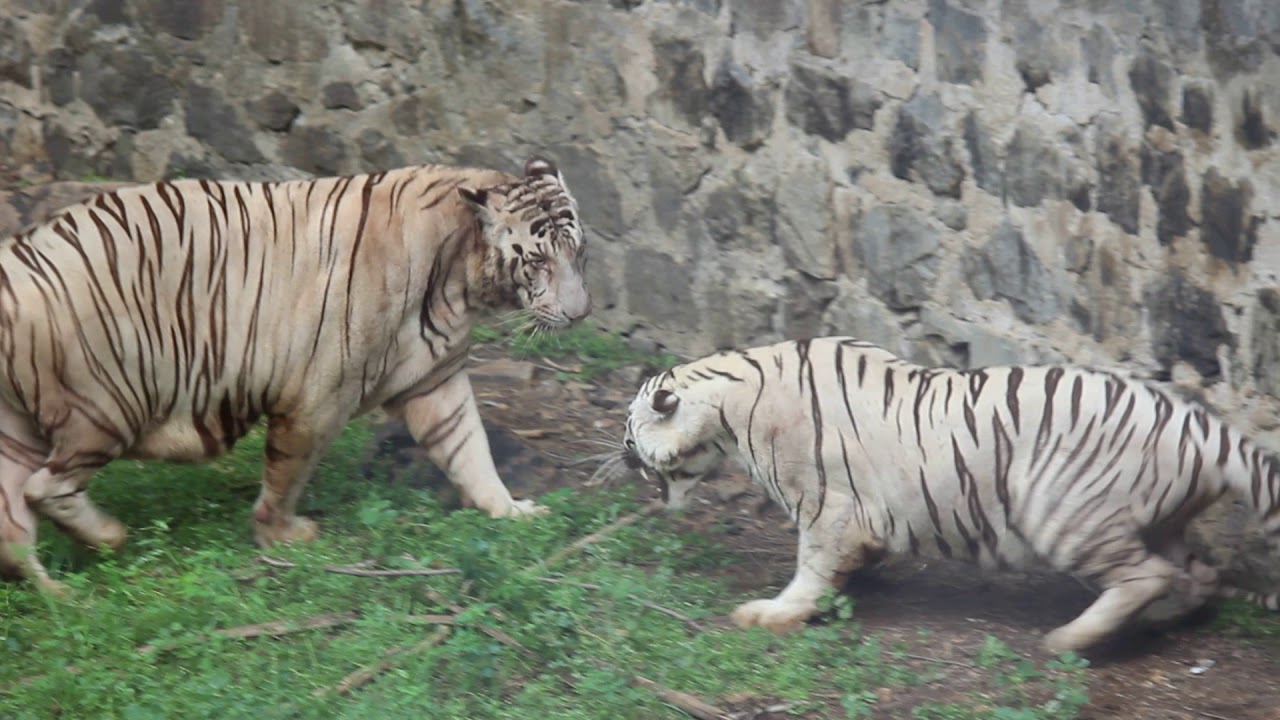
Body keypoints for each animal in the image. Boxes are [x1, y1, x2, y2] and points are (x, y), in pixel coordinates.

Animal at [0, 155, 591, 592]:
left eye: (579, 253)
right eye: (538, 261)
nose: (581, 314)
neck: (457, 281)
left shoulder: (436, 381)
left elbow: (471, 450)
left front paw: (511, 510)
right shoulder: (319, 396)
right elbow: (289, 471)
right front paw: (282, 535)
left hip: (19, 429)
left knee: (13, 516)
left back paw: (59, 594)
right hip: (106, 402)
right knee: (44, 487)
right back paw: (110, 537)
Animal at [619, 336, 1280, 654]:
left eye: (630, 426)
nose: (622, 455)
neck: (727, 403)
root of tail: (1202, 426)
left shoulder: (825, 506)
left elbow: (810, 566)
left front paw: (773, 613)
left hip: (1067, 513)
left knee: (1147, 575)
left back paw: (1070, 641)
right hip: (1159, 520)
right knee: (1193, 573)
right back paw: (1158, 620)